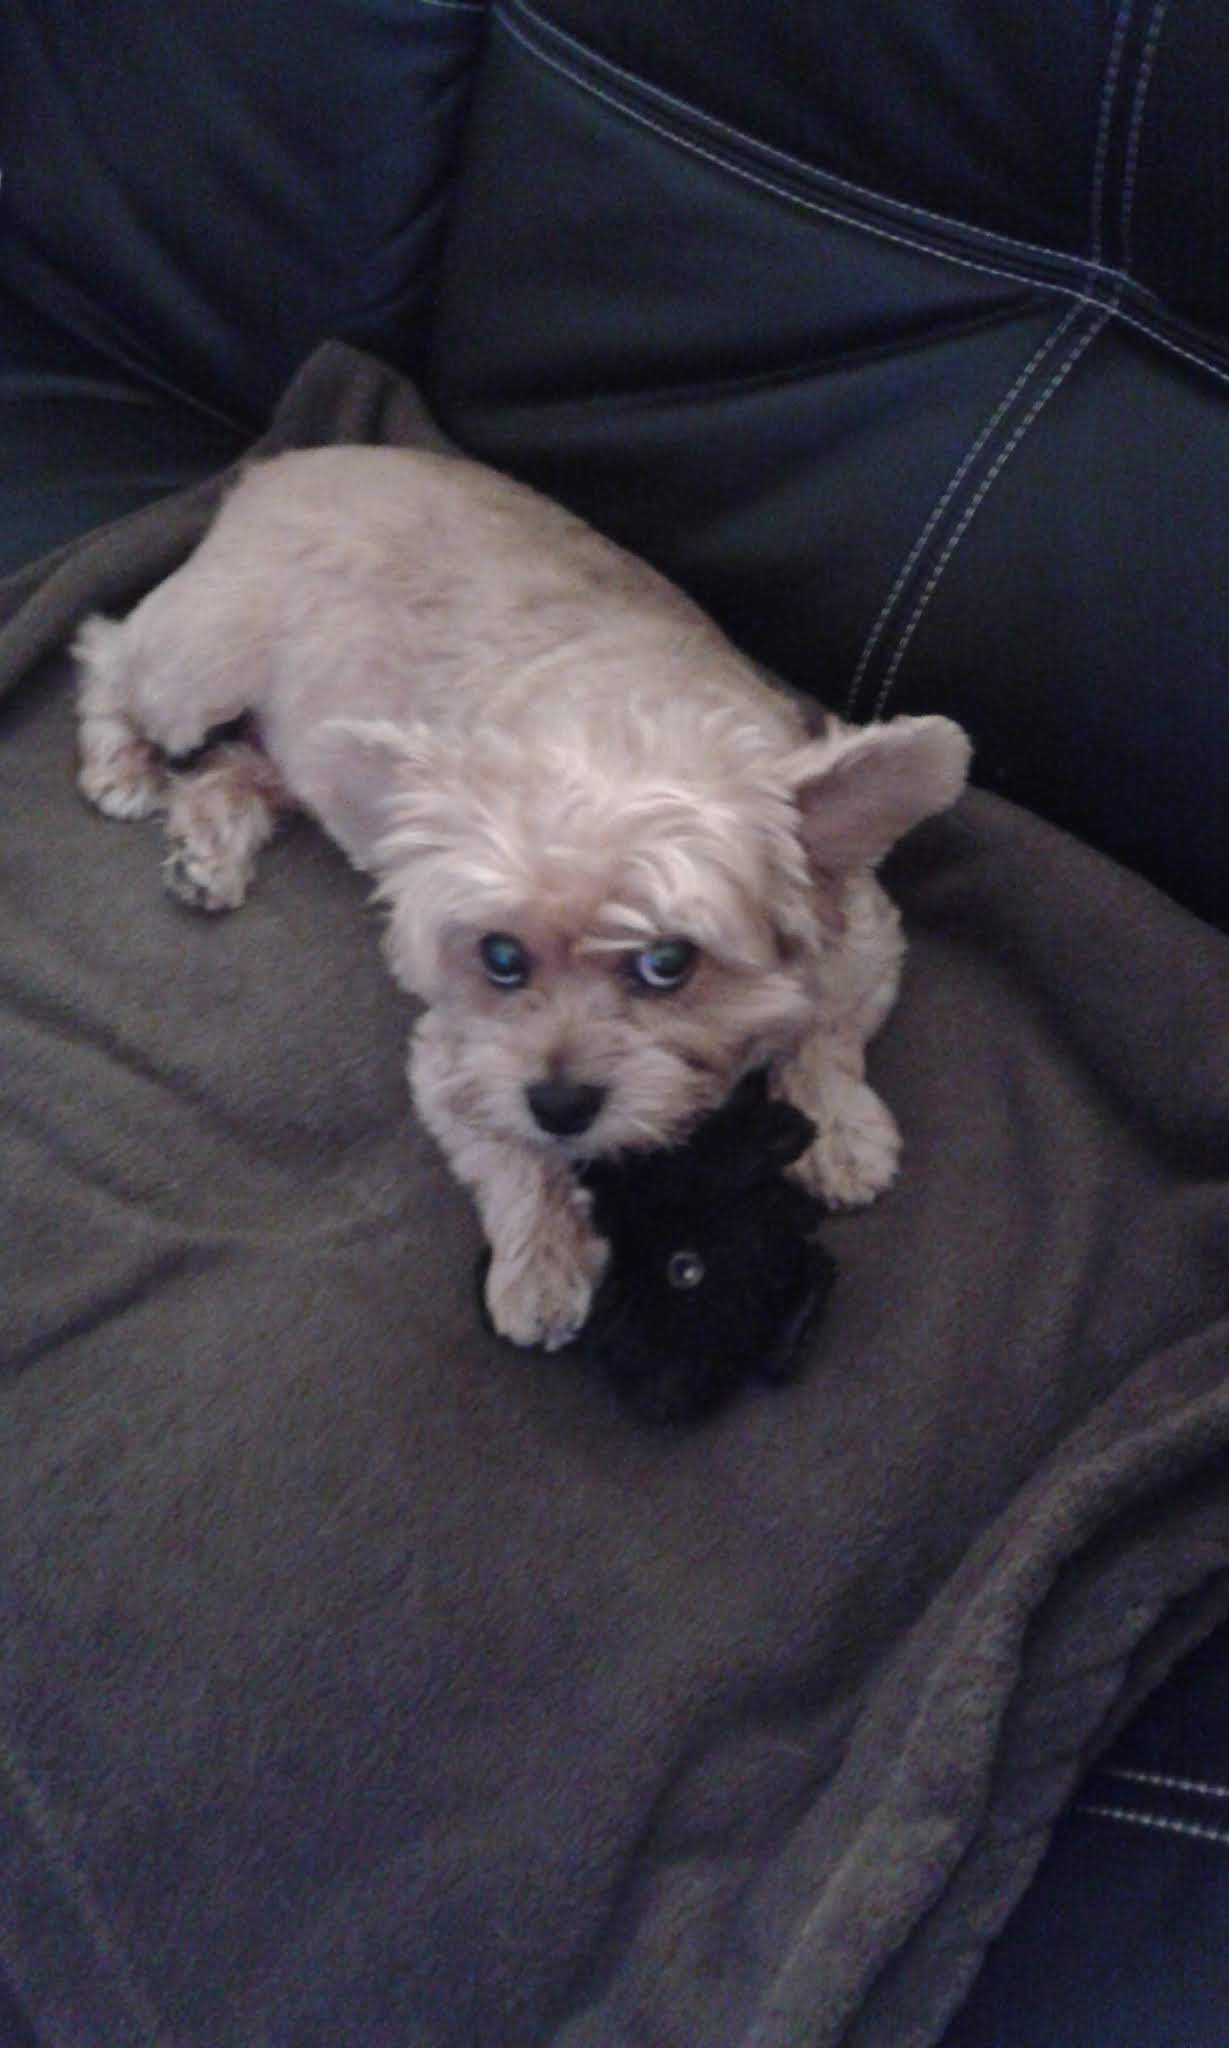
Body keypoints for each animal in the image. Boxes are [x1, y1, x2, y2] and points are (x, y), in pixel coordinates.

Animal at [73, 444, 970, 1349]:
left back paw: (208, 845)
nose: (560, 1103)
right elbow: (510, 1158)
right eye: (500, 958)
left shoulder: (864, 939)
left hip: (301, 747)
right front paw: (542, 1262)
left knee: (234, 767)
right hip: (196, 669)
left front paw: (839, 1127)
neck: (623, 720)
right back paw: (122, 765)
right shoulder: (457, 1057)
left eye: (667, 961)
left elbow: (826, 1031)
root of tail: (282, 463)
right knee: (107, 653)